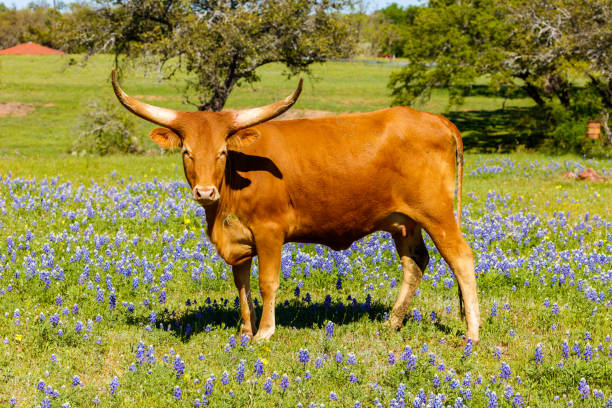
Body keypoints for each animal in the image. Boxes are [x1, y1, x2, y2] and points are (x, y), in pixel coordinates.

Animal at [112, 71, 480, 344]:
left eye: (222, 152)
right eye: (187, 151)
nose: (204, 192)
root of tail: (439, 121)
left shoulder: (269, 232)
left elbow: (267, 282)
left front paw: (264, 332)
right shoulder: (239, 241)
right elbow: (242, 285)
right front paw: (245, 330)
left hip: (437, 213)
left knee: (461, 258)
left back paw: (472, 334)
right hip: (404, 221)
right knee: (415, 262)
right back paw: (392, 323)